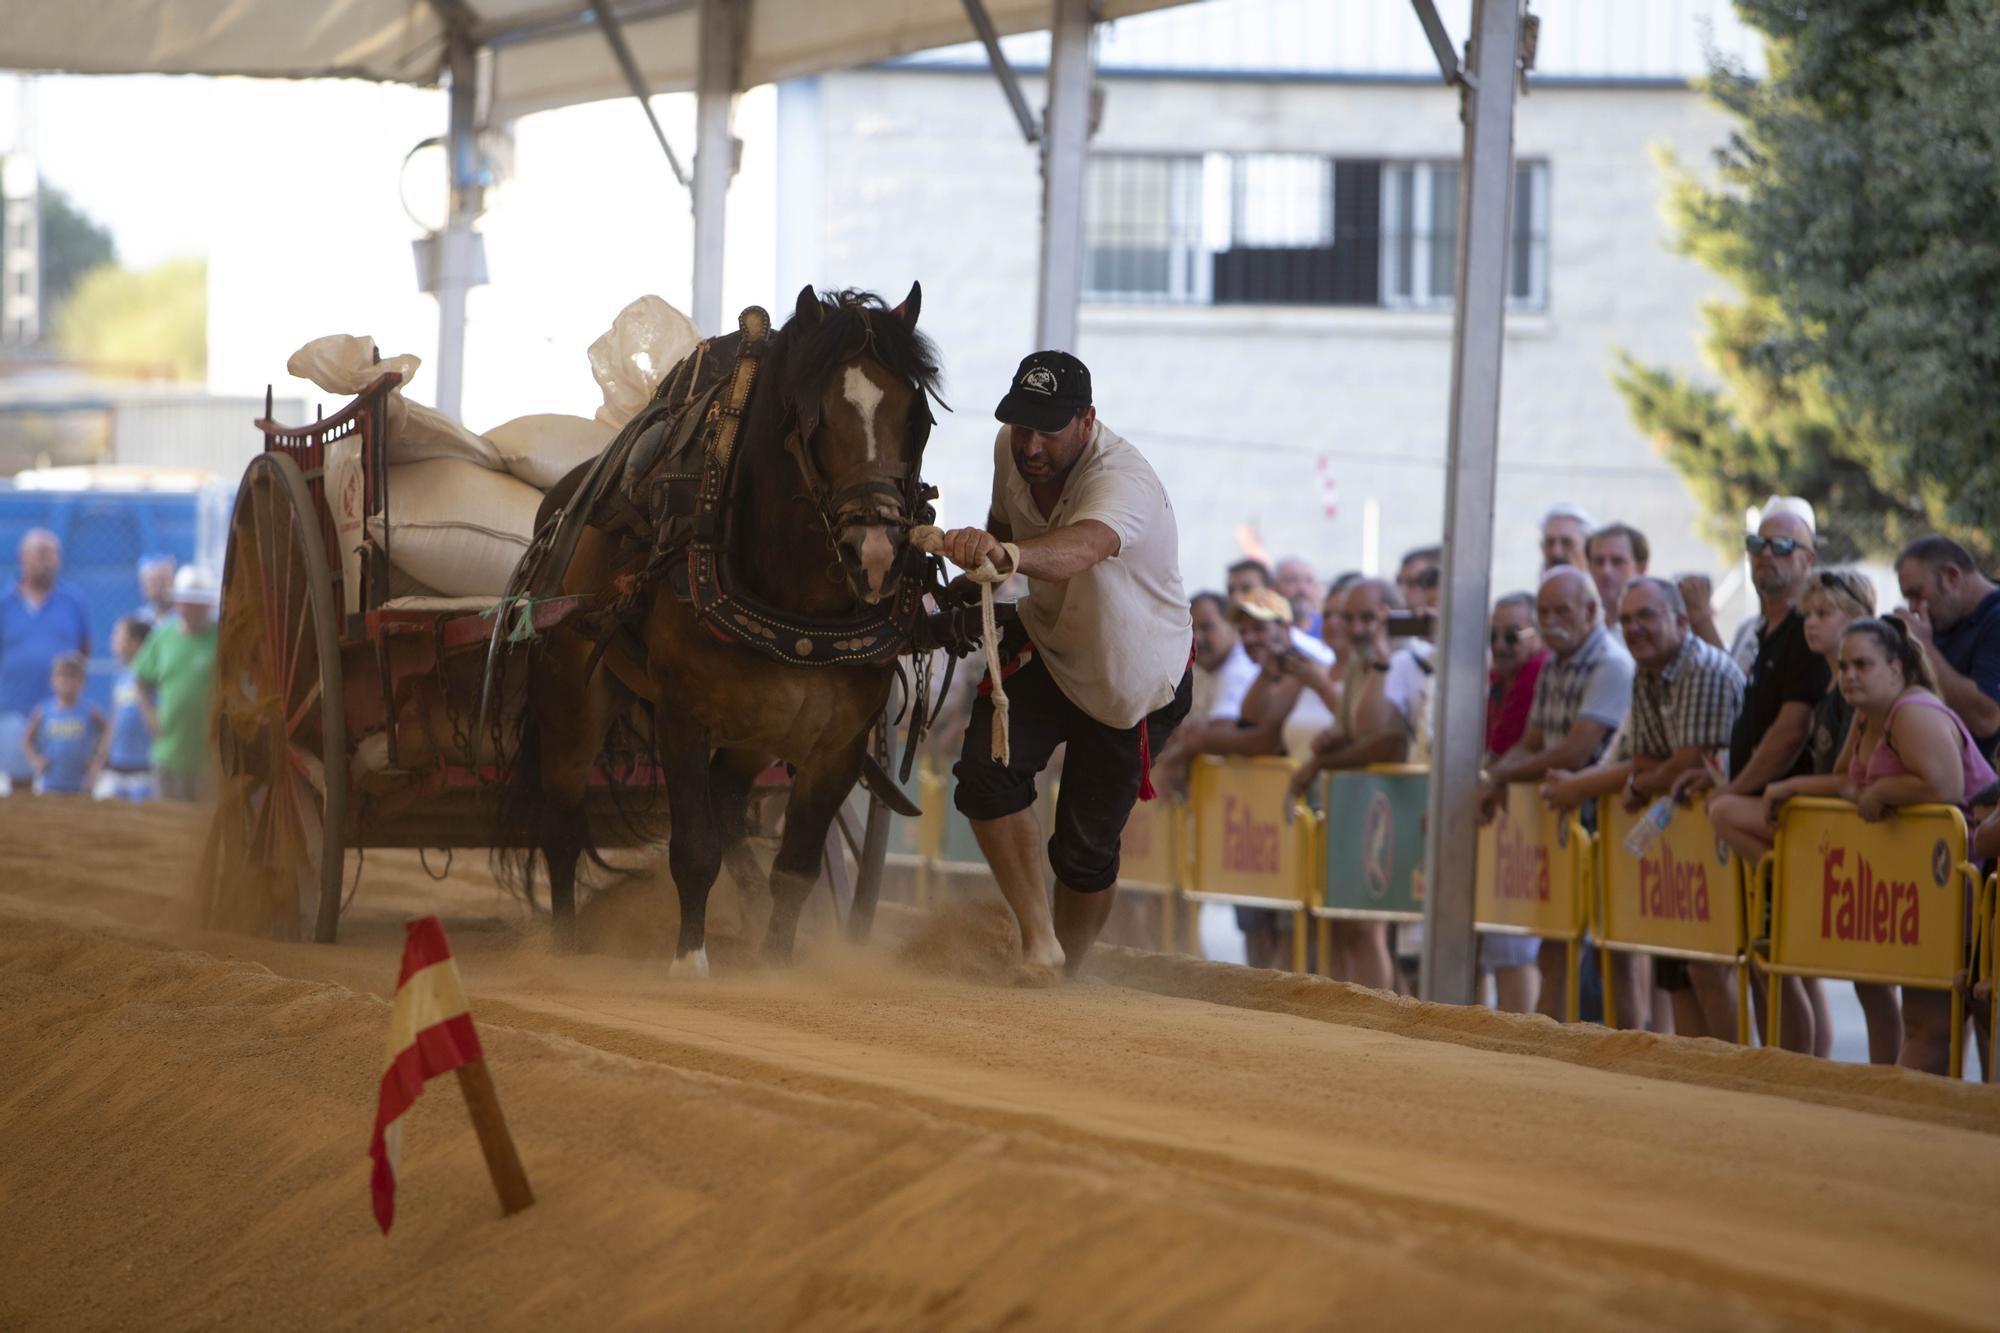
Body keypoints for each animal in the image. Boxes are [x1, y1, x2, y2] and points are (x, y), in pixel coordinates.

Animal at [496, 282, 940, 964]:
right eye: (814, 417)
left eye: (915, 418)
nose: (875, 552)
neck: (801, 613)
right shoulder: (684, 715)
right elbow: (693, 851)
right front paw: (690, 961)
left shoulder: (838, 743)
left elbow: (797, 869)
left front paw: (774, 964)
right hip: (571, 699)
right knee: (563, 827)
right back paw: (566, 948)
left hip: (758, 728)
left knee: (730, 809)